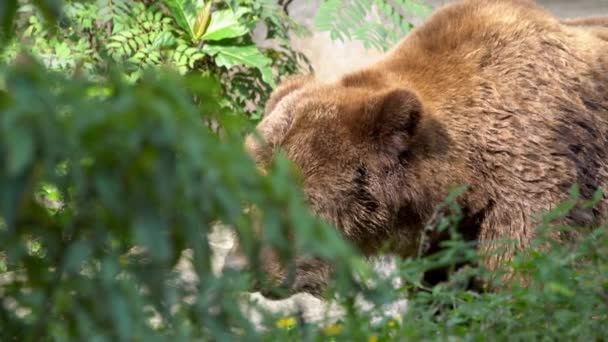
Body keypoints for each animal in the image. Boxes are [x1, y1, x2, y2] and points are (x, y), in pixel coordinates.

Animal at [243, 0, 608, 294]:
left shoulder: (534, 186)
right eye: (250, 196)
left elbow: (526, 274)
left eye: (302, 200)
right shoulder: (438, 240)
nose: (256, 273)